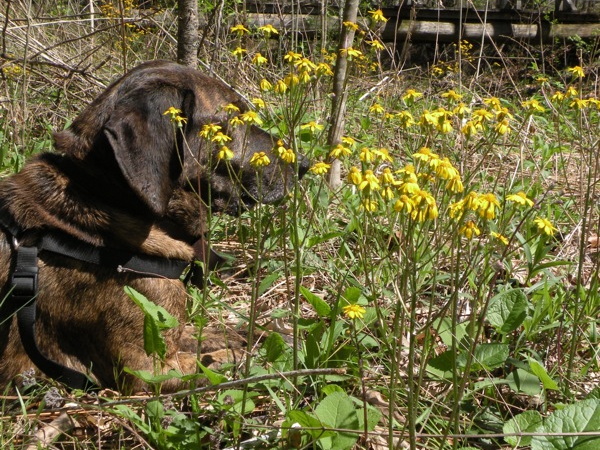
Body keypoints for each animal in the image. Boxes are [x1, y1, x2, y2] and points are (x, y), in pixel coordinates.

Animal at [0, 61, 310, 392]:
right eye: (235, 117)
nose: (303, 164)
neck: (109, 195)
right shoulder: (149, 371)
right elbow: (229, 360)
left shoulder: (176, 332)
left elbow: (223, 334)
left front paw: (272, 334)